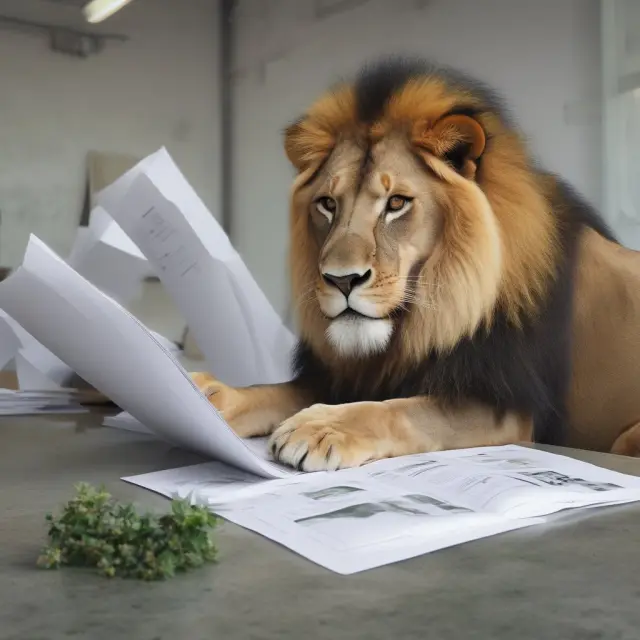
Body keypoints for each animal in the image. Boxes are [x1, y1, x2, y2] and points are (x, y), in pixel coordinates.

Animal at [192, 57, 640, 470]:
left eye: (396, 203)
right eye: (328, 204)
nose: (342, 280)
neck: (422, 323)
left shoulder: (508, 408)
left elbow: (402, 409)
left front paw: (321, 427)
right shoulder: (345, 377)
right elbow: (275, 390)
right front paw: (206, 394)